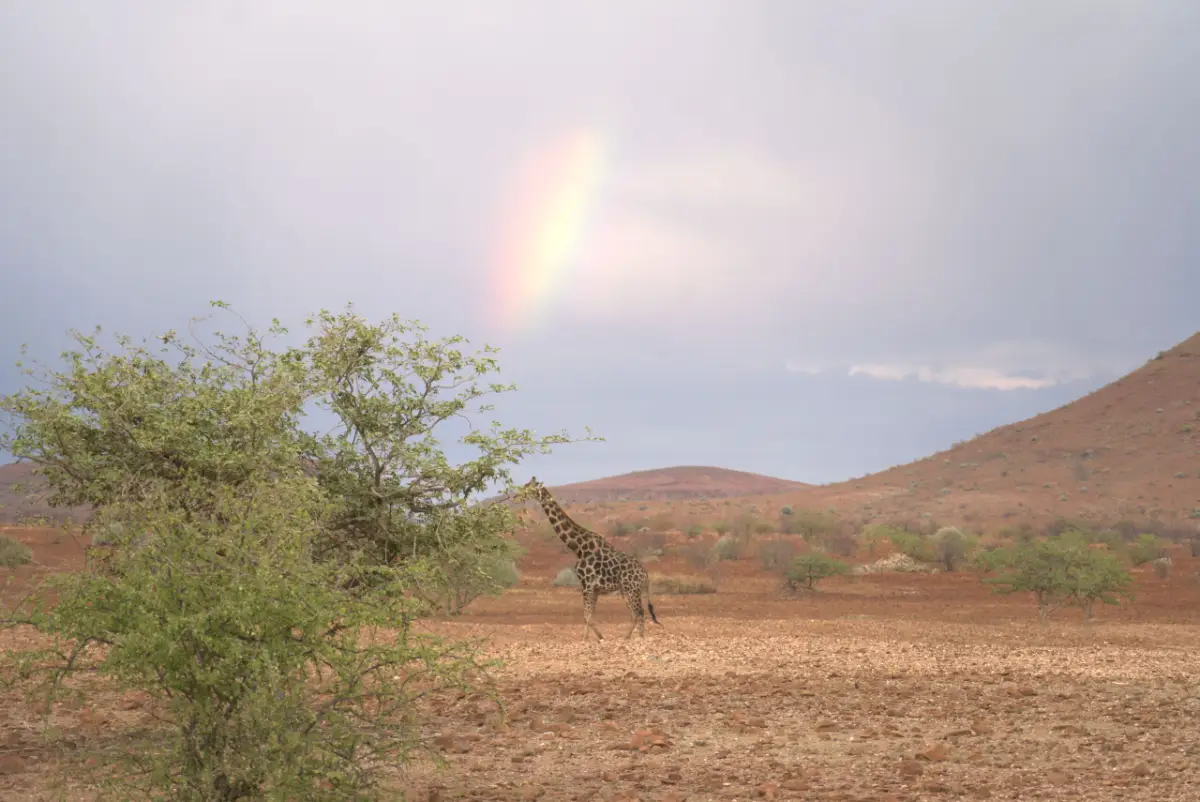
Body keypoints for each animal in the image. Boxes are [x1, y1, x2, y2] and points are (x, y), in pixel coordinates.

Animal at [521, 476, 662, 640]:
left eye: (529, 487)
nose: (519, 495)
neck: (579, 547)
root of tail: (645, 574)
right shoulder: (593, 589)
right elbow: (589, 616)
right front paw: (595, 637)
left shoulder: (587, 585)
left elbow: (587, 616)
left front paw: (588, 639)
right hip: (627, 591)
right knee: (636, 614)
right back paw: (629, 637)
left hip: (632, 590)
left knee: (640, 613)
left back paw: (638, 638)